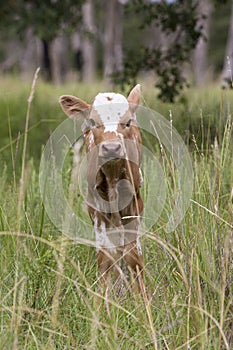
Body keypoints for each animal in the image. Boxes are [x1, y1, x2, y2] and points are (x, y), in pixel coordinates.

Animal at [58, 85, 144, 296]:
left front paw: (142, 299)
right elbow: (105, 256)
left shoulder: (135, 204)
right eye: (93, 122)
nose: (111, 148)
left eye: (127, 122)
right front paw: (103, 298)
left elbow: (133, 255)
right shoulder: (96, 208)